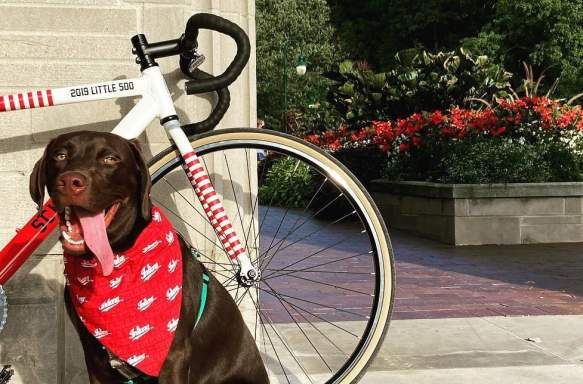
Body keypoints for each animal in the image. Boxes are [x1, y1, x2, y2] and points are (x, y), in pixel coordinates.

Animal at [29, 130, 270, 382]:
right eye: (60, 155)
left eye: (110, 159)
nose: (70, 181)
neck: (113, 264)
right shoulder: (94, 360)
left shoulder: (173, 357)